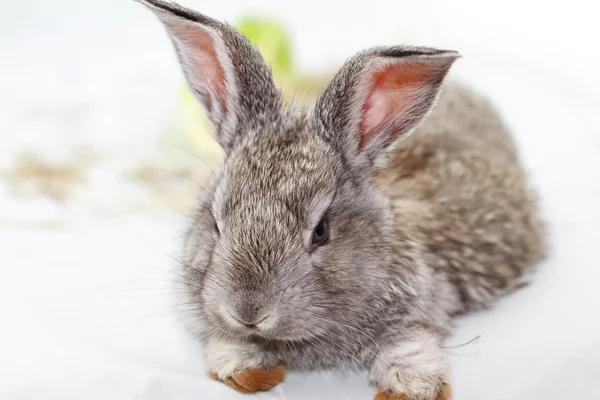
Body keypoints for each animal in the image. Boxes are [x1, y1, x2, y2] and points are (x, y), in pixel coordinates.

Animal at [138, 1, 548, 398]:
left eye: (321, 231)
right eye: (215, 220)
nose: (248, 312)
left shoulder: (419, 310)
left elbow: (411, 347)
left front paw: (410, 388)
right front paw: (249, 371)